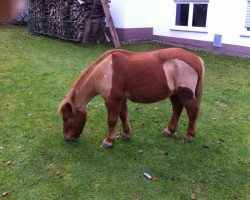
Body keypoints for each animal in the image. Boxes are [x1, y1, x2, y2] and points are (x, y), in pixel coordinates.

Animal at [58, 47, 205, 148]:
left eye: (66, 119)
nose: (66, 137)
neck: (105, 71)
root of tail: (197, 59)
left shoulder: (112, 100)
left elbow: (112, 120)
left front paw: (108, 141)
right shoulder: (121, 99)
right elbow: (123, 116)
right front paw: (126, 134)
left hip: (186, 94)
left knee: (192, 113)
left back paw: (189, 136)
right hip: (175, 93)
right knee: (177, 109)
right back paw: (169, 130)